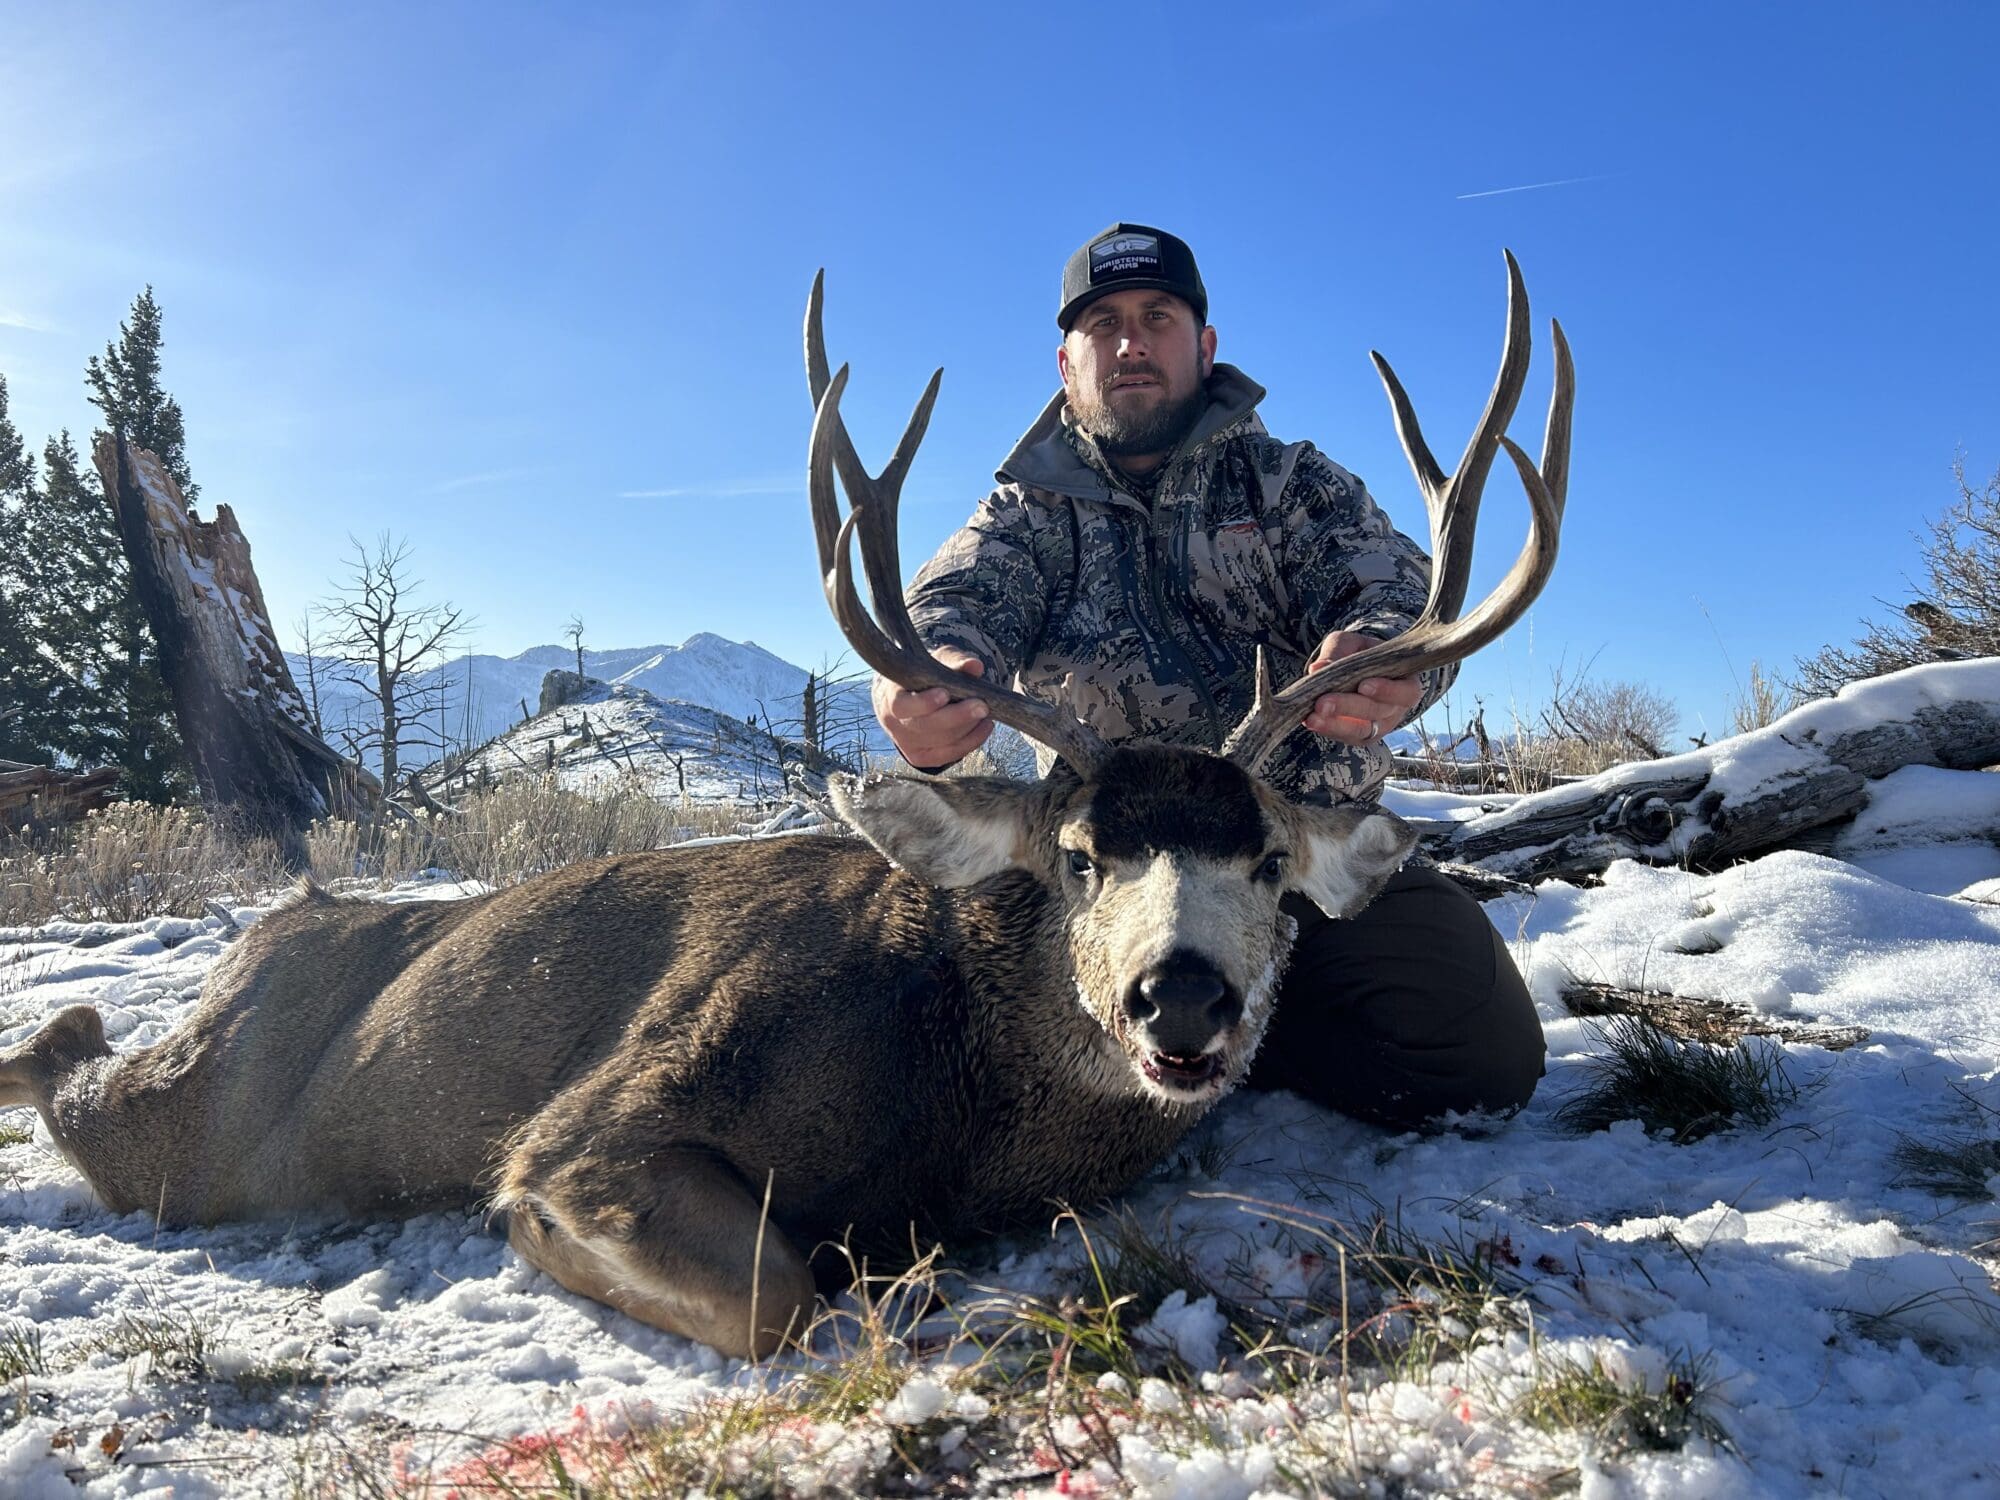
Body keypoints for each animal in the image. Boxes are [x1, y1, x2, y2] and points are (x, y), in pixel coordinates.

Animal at [0, 255, 1570, 1360]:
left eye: (1266, 860)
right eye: (1073, 858)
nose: (1179, 998)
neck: (953, 1094)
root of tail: (268, 929)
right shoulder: (607, 1117)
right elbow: (779, 1294)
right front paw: (534, 1239)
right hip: (203, 1130)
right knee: (84, 1073)